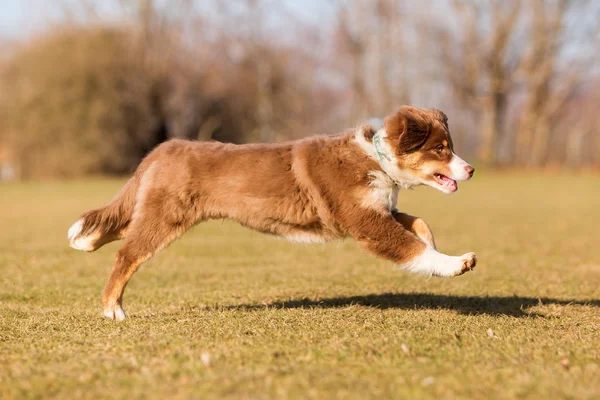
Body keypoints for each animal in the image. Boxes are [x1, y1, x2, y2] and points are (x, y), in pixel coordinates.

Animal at [68, 105, 476, 318]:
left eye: (450, 146)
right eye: (441, 149)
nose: (471, 170)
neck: (376, 159)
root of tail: (162, 149)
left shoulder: (376, 210)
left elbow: (418, 224)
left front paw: (434, 244)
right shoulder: (364, 221)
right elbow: (410, 247)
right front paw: (455, 263)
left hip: (151, 209)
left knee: (116, 228)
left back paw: (86, 243)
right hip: (163, 217)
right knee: (127, 255)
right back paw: (112, 308)